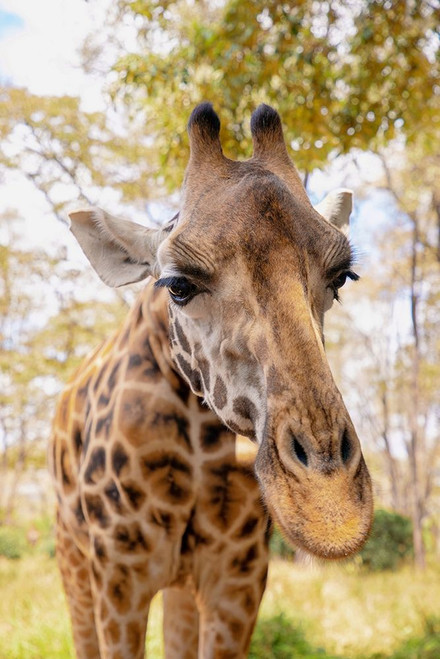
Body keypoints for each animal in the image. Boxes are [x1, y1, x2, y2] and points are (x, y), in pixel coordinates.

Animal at [49, 103, 373, 659]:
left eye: (341, 278)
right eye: (178, 285)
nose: (328, 510)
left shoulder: (237, 576)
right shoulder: (118, 573)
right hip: (73, 554)